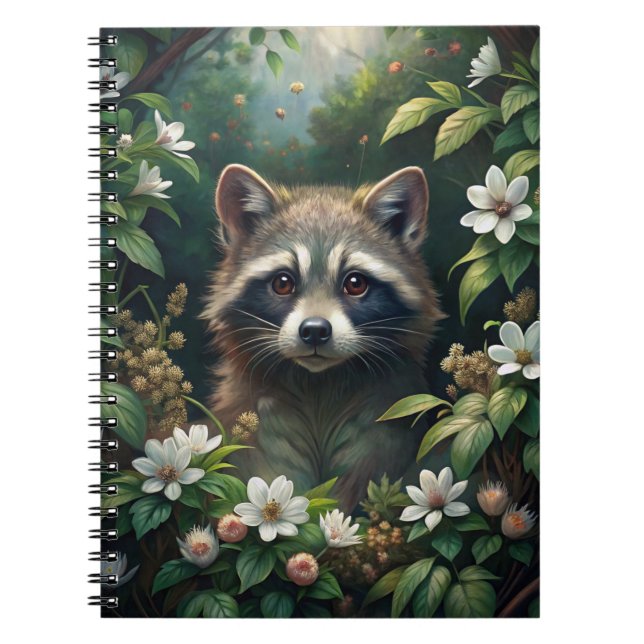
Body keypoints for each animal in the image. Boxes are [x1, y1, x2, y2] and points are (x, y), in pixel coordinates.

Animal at [201, 164, 444, 511]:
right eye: (283, 283)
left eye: (355, 283)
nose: (315, 330)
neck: (318, 384)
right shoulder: (255, 417)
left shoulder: (387, 414)